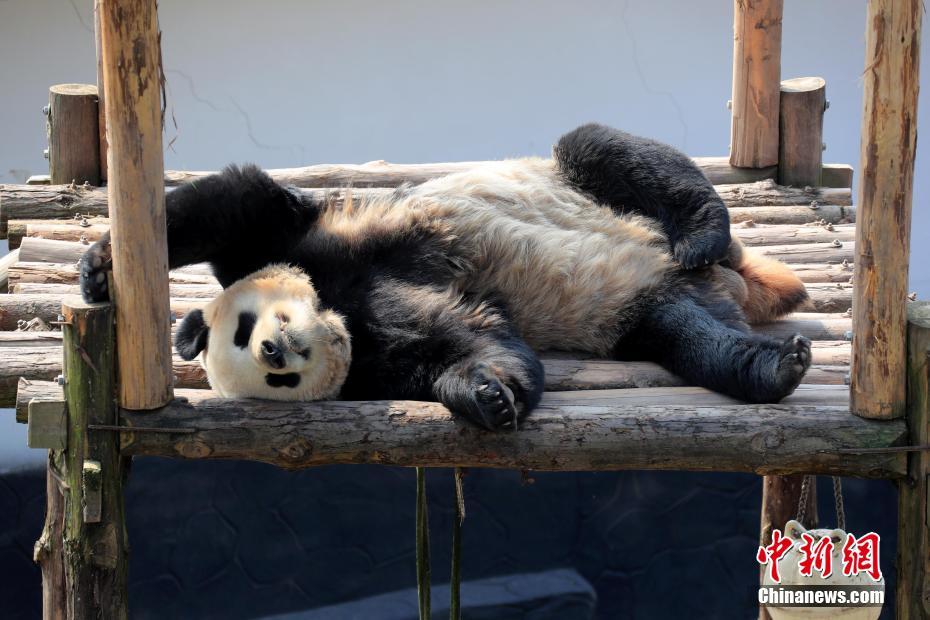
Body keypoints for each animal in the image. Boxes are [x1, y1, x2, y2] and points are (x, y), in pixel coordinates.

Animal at [80, 123, 808, 428]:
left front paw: (102, 267)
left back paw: (699, 232)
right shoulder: (378, 359)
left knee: (613, 153)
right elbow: (466, 342)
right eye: (273, 380)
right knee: (687, 334)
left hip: (585, 183)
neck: (337, 307)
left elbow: (233, 205)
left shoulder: (300, 241)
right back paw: (769, 367)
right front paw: (486, 396)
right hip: (640, 308)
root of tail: (727, 277)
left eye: (249, 327)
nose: (276, 349)